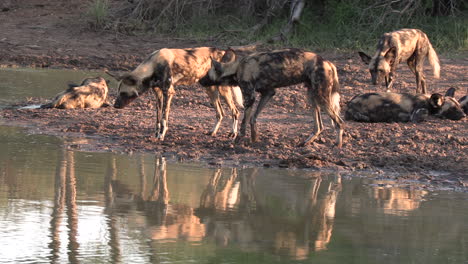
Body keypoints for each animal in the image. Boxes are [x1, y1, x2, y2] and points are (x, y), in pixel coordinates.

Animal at [106, 47, 245, 140]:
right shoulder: (158, 93)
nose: (115, 106)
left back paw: (233, 133)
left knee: (235, 111)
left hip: (222, 90)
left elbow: (164, 118)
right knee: (220, 113)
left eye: (123, 93)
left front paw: (161, 135)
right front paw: (156, 134)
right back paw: (212, 132)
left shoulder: (168, 92)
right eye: (118, 92)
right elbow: (158, 118)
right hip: (209, 89)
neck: (153, 65)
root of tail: (222, 52)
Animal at [199, 48, 346, 147]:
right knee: (319, 126)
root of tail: (327, 62)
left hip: (321, 97)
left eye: (207, 73)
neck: (236, 68)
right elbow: (253, 118)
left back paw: (337, 145)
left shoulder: (250, 97)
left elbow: (244, 122)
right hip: (312, 97)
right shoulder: (268, 93)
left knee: (339, 122)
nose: (200, 81)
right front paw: (254, 138)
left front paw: (238, 139)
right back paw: (305, 142)